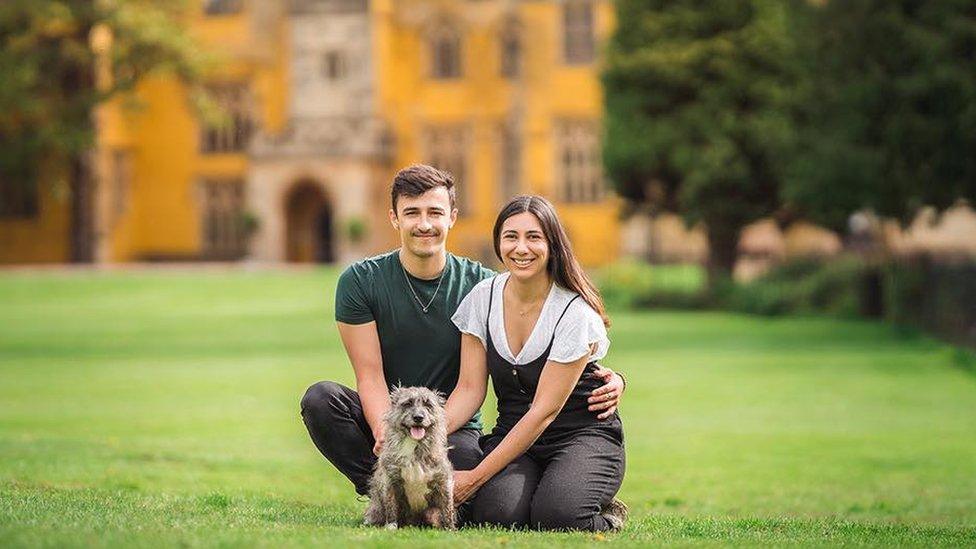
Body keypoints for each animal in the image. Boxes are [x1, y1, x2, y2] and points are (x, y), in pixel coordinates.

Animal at [366, 384, 458, 528]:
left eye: (428, 404)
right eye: (408, 403)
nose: (418, 417)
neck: (413, 446)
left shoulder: (444, 481)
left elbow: (447, 508)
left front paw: (450, 529)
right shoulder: (389, 480)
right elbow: (391, 507)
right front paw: (391, 526)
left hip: (432, 514)